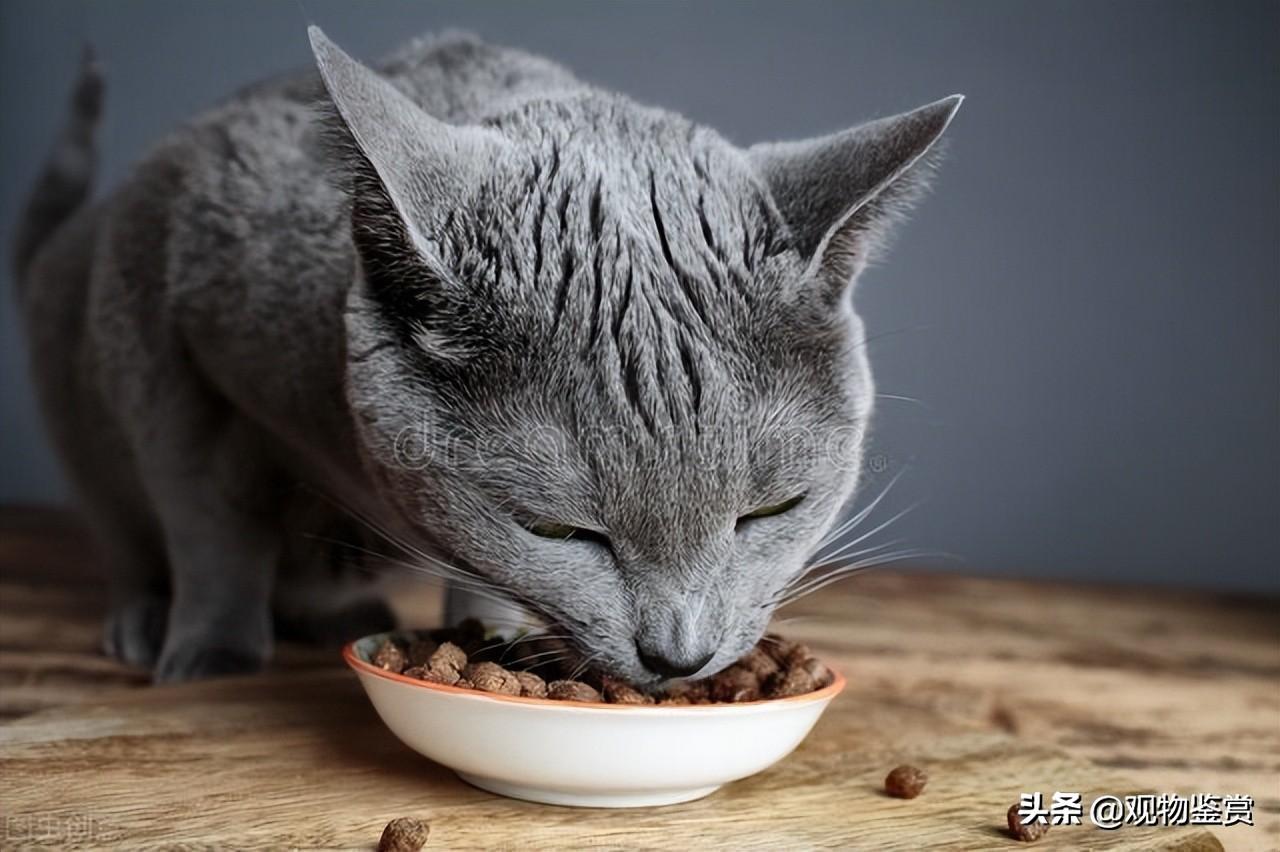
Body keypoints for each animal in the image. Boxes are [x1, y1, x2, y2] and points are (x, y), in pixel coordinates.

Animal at [12, 28, 962, 685]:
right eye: (557, 528)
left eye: (772, 510)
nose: (678, 657)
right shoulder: (169, 310)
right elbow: (211, 525)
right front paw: (213, 656)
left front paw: (495, 634)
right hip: (81, 370)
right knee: (128, 527)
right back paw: (147, 622)